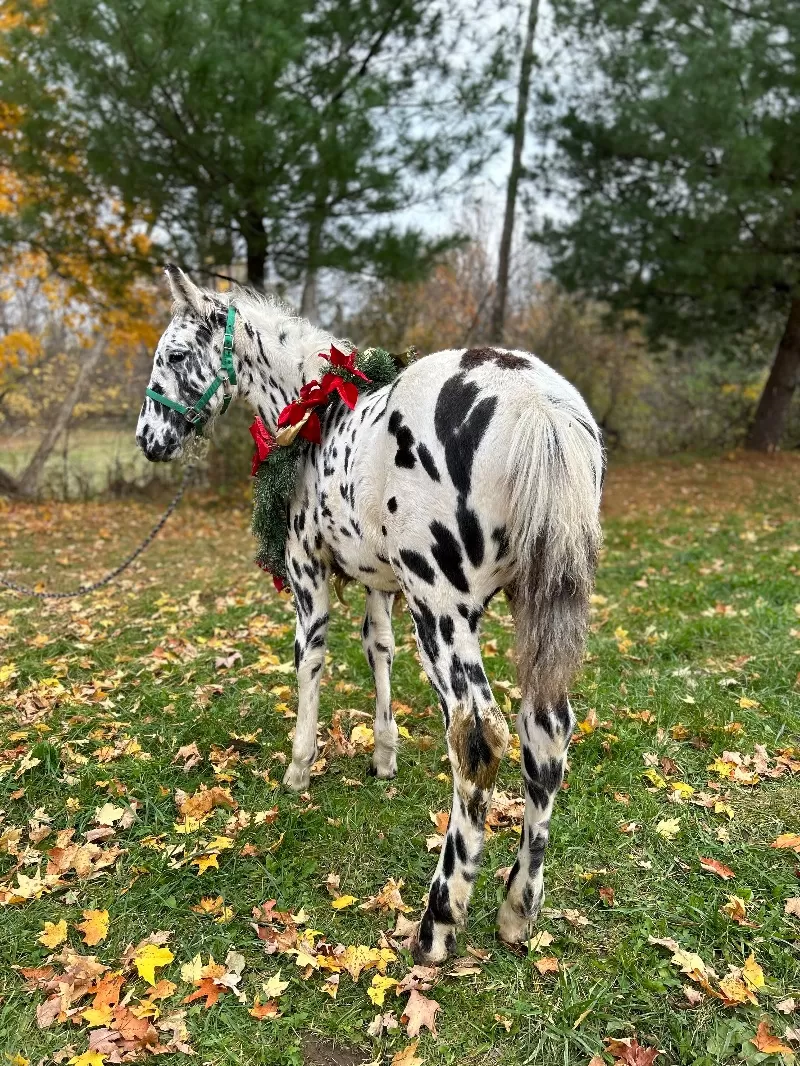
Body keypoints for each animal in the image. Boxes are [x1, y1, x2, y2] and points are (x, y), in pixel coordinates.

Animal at [136, 264, 604, 964]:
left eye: (172, 355)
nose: (148, 439)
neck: (315, 413)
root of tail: (534, 403)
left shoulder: (308, 575)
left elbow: (310, 661)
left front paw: (298, 769)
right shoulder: (379, 586)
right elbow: (377, 651)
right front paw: (384, 757)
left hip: (442, 613)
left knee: (476, 739)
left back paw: (438, 922)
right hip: (528, 613)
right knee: (545, 738)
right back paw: (517, 911)